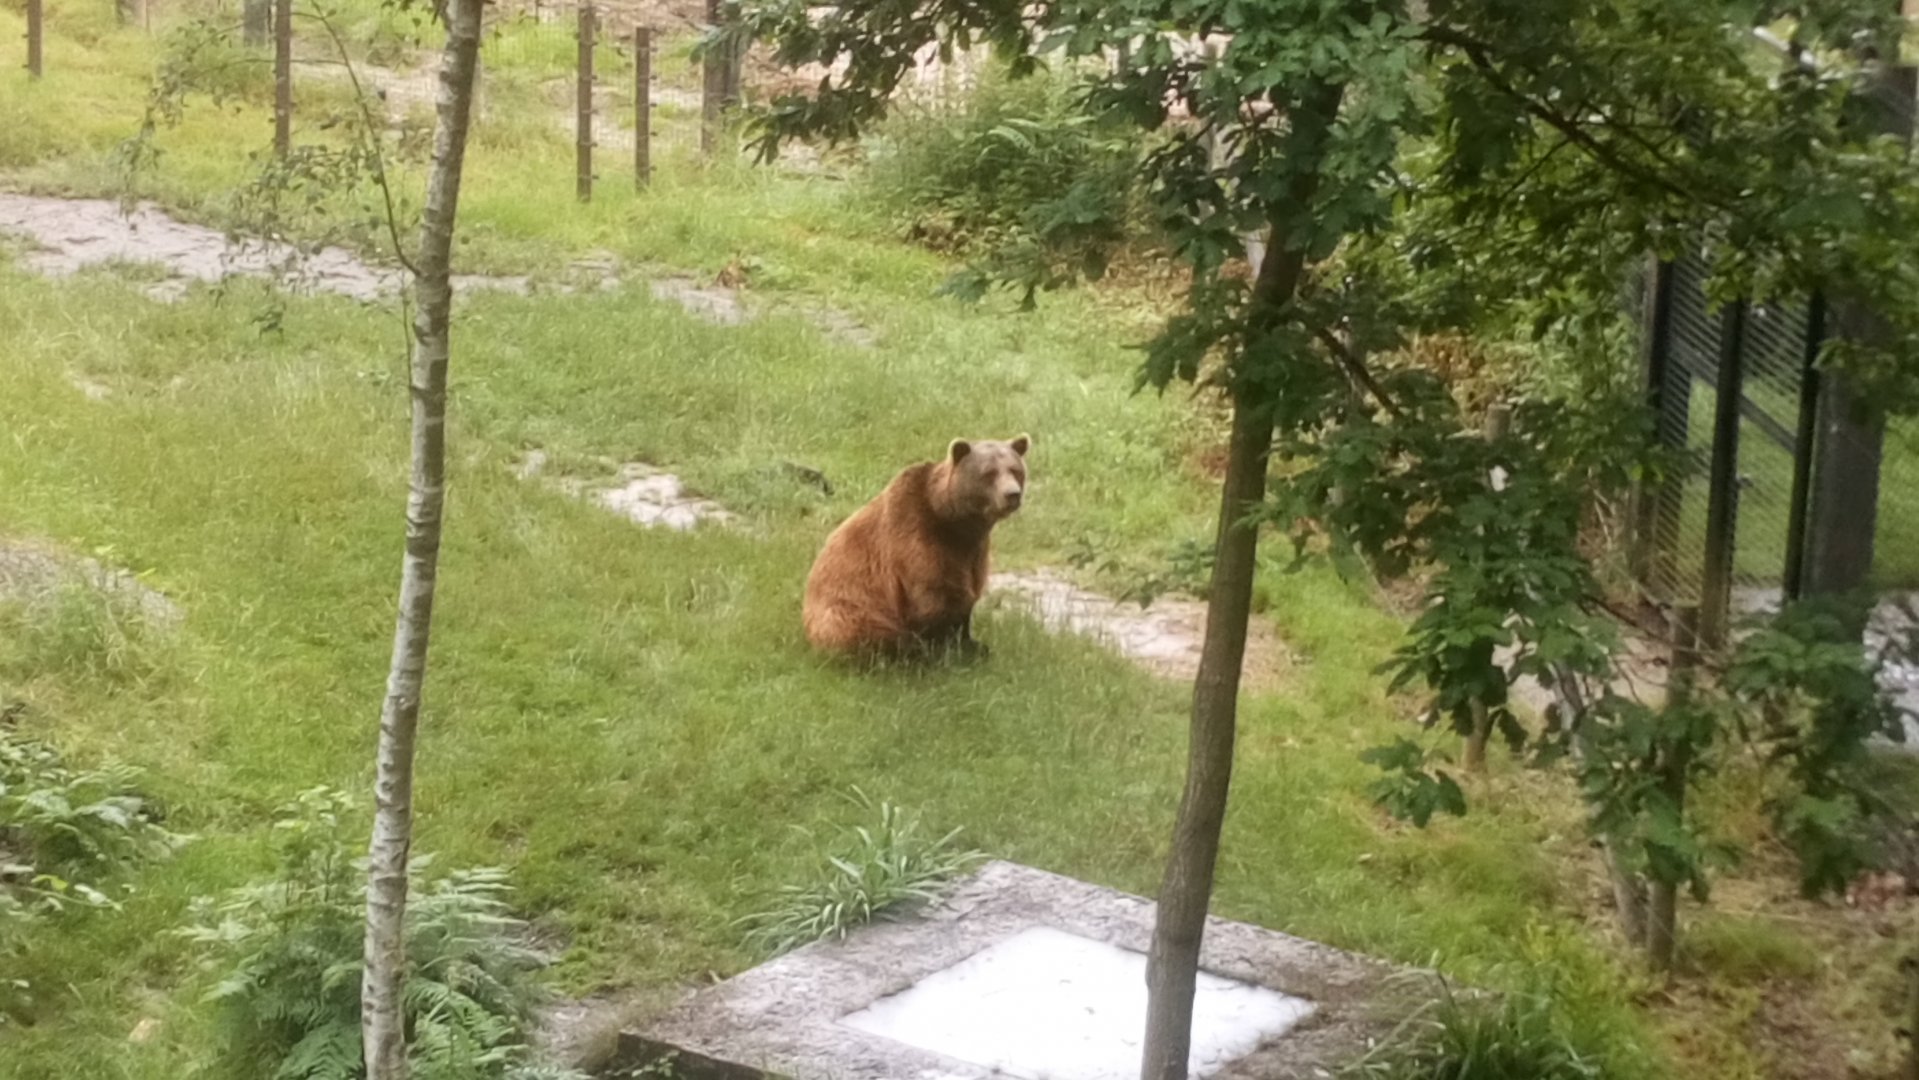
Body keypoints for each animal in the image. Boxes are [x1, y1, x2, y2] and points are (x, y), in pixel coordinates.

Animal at [802, 435, 1030, 660]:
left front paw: (974, 645)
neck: (955, 523)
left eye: (1015, 469)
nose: (1012, 494)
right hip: (848, 609)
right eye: (989, 472)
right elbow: (935, 597)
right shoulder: (918, 539)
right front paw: (943, 651)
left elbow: (968, 593)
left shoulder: (974, 552)